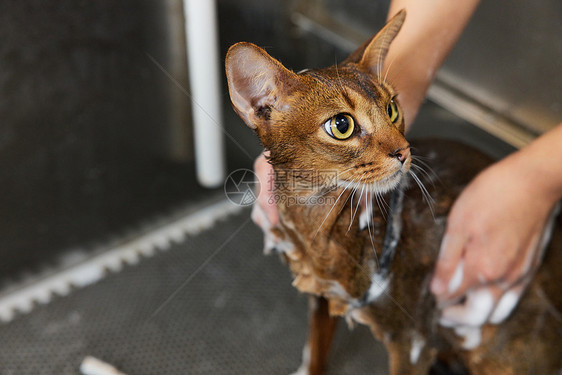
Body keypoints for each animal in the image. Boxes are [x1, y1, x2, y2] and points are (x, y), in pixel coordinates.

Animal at [223, 8, 560, 375]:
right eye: (342, 125)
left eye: (392, 109)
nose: (404, 151)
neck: (323, 231)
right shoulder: (323, 295)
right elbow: (315, 352)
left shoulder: (410, 340)